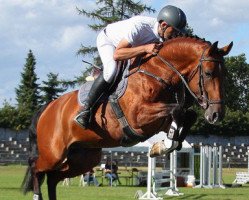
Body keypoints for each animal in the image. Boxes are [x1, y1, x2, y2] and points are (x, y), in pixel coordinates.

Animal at [21, 35, 233, 199]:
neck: (157, 73)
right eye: (208, 73)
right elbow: (178, 110)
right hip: (54, 153)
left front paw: (163, 145)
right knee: (37, 168)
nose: (216, 115)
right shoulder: (138, 118)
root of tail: (47, 108)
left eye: (225, 74)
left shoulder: (159, 122)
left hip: (84, 157)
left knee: (54, 177)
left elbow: (185, 115)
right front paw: (162, 146)